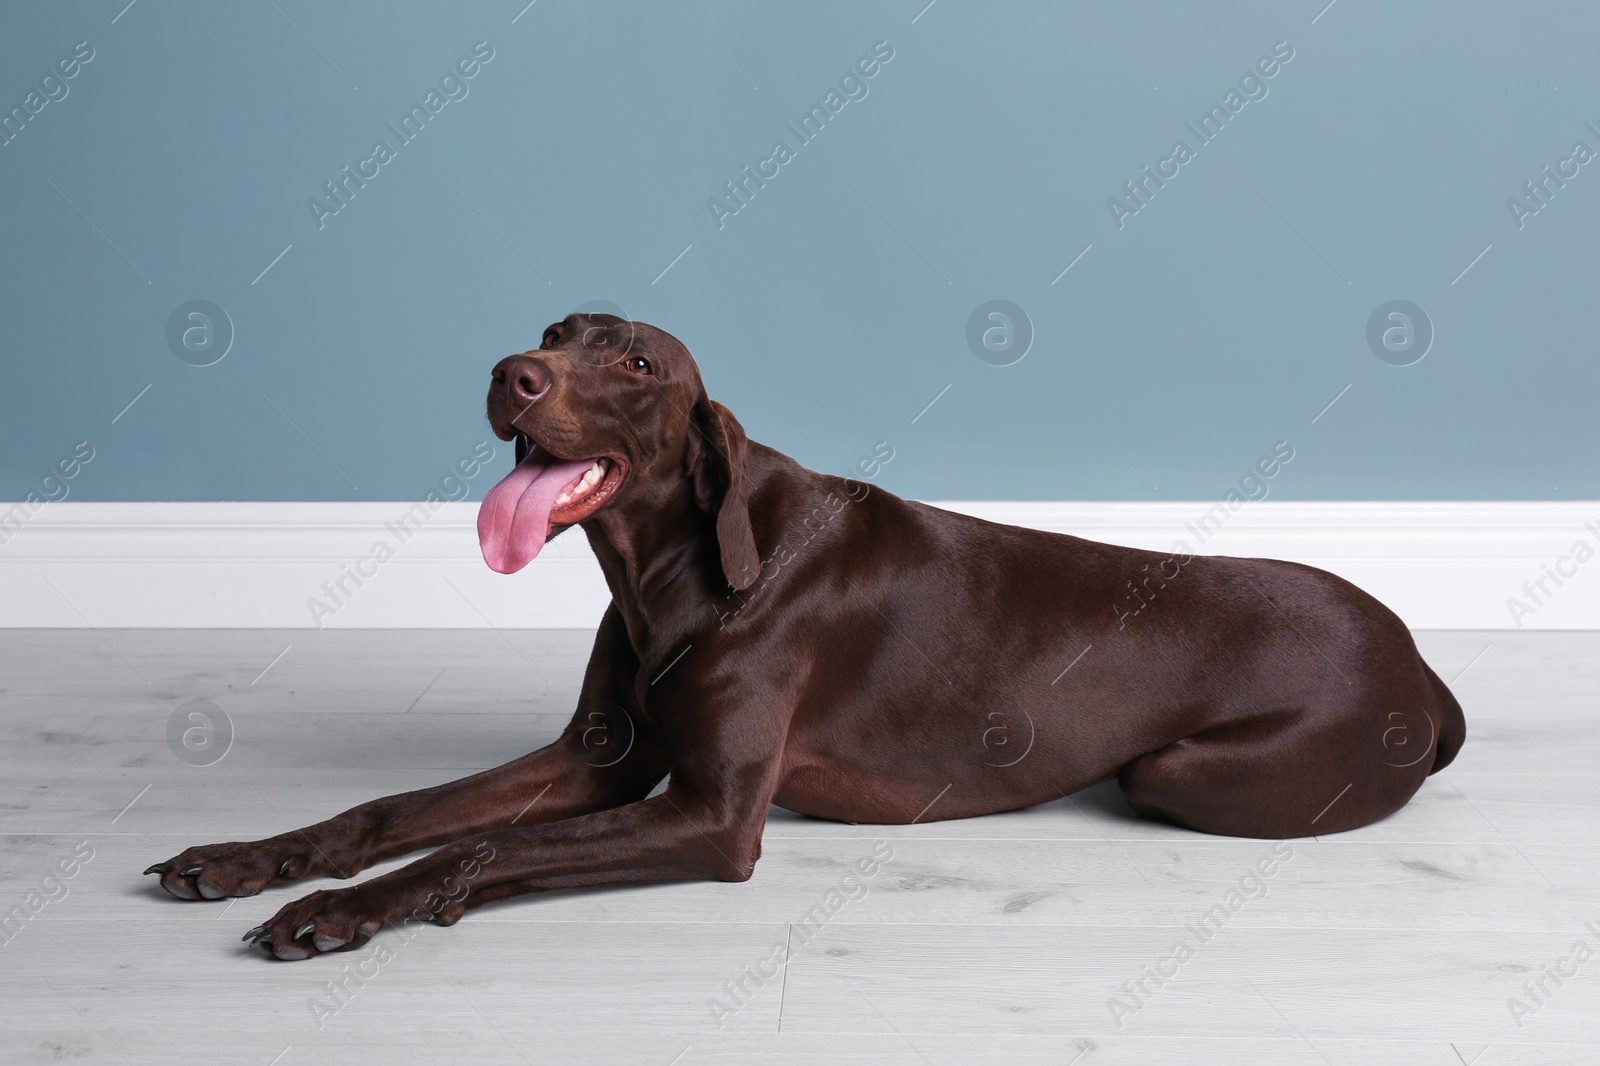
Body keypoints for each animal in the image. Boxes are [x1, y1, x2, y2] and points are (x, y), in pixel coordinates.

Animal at [144, 313, 1465, 953]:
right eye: (550, 331)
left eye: (635, 360)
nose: (509, 372)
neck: (672, 568)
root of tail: (1423, 664)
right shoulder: (597, 760)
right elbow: (398, 812)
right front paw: (254, 858)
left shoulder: (714, 814)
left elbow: (469, 849)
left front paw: (345, 911)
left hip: (1179, 769)